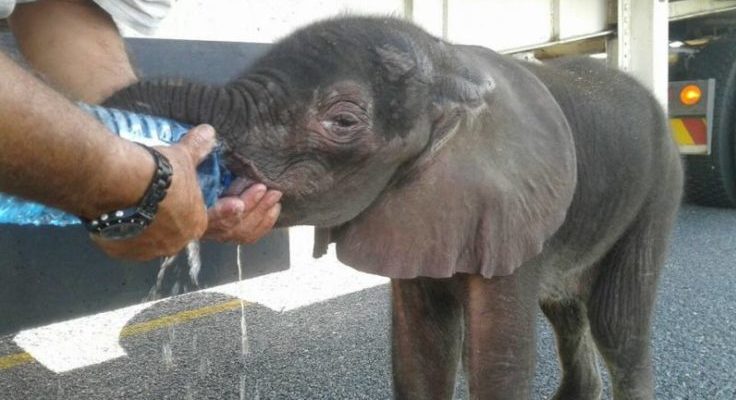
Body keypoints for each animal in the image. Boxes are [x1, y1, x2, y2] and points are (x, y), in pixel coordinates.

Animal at [105, 16, 684, 400]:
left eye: (343, 121)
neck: (449, 63)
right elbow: (421, 351)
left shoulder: (511, 203)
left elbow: (498, 359)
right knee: (566, 311)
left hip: (660, 186)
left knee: (616, 324)